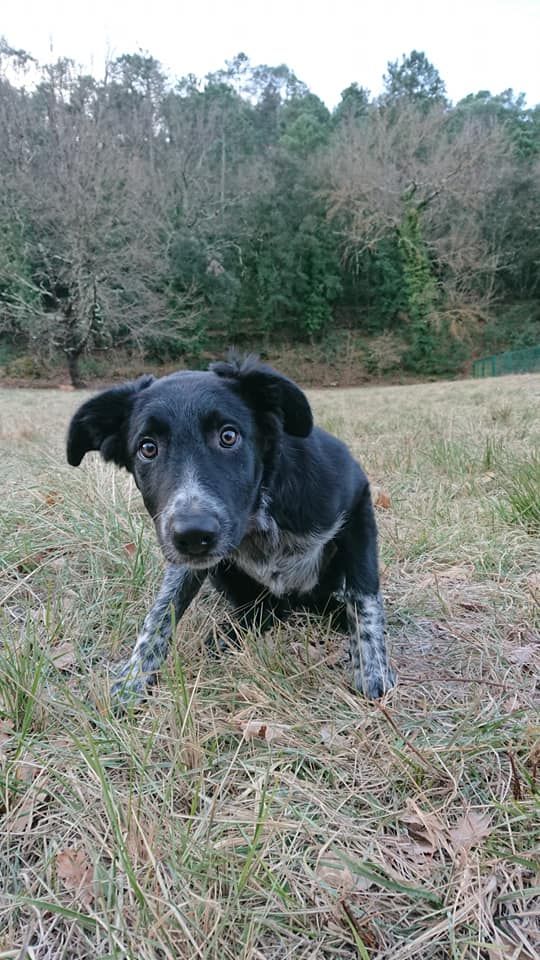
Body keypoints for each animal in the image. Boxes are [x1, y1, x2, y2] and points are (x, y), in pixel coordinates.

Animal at [68, 352, 396, 704]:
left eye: (228, 436)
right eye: (147, 448)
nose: (193, 535)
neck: (257, 515)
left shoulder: (358, 500)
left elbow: (363, 596)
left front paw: (372, 669)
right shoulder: (184, 558)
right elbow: (160, 612)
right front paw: (132, 679)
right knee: (263, 613)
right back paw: (228, 636)